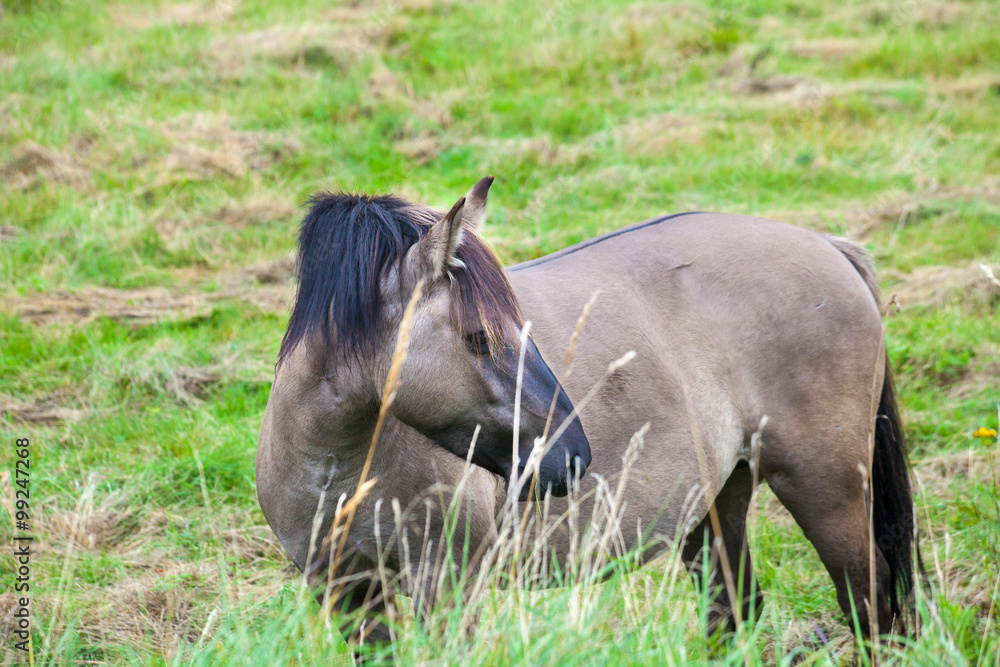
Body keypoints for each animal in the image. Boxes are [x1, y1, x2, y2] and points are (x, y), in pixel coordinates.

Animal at [256, 176, 917, 650]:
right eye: (477, 338)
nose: (571, 457)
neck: (342, 468)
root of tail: (826, 244)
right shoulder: (346, 590)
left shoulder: (447, 588)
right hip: (719, 500)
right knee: (734, 613)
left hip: (823, 488)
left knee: (870, 601)